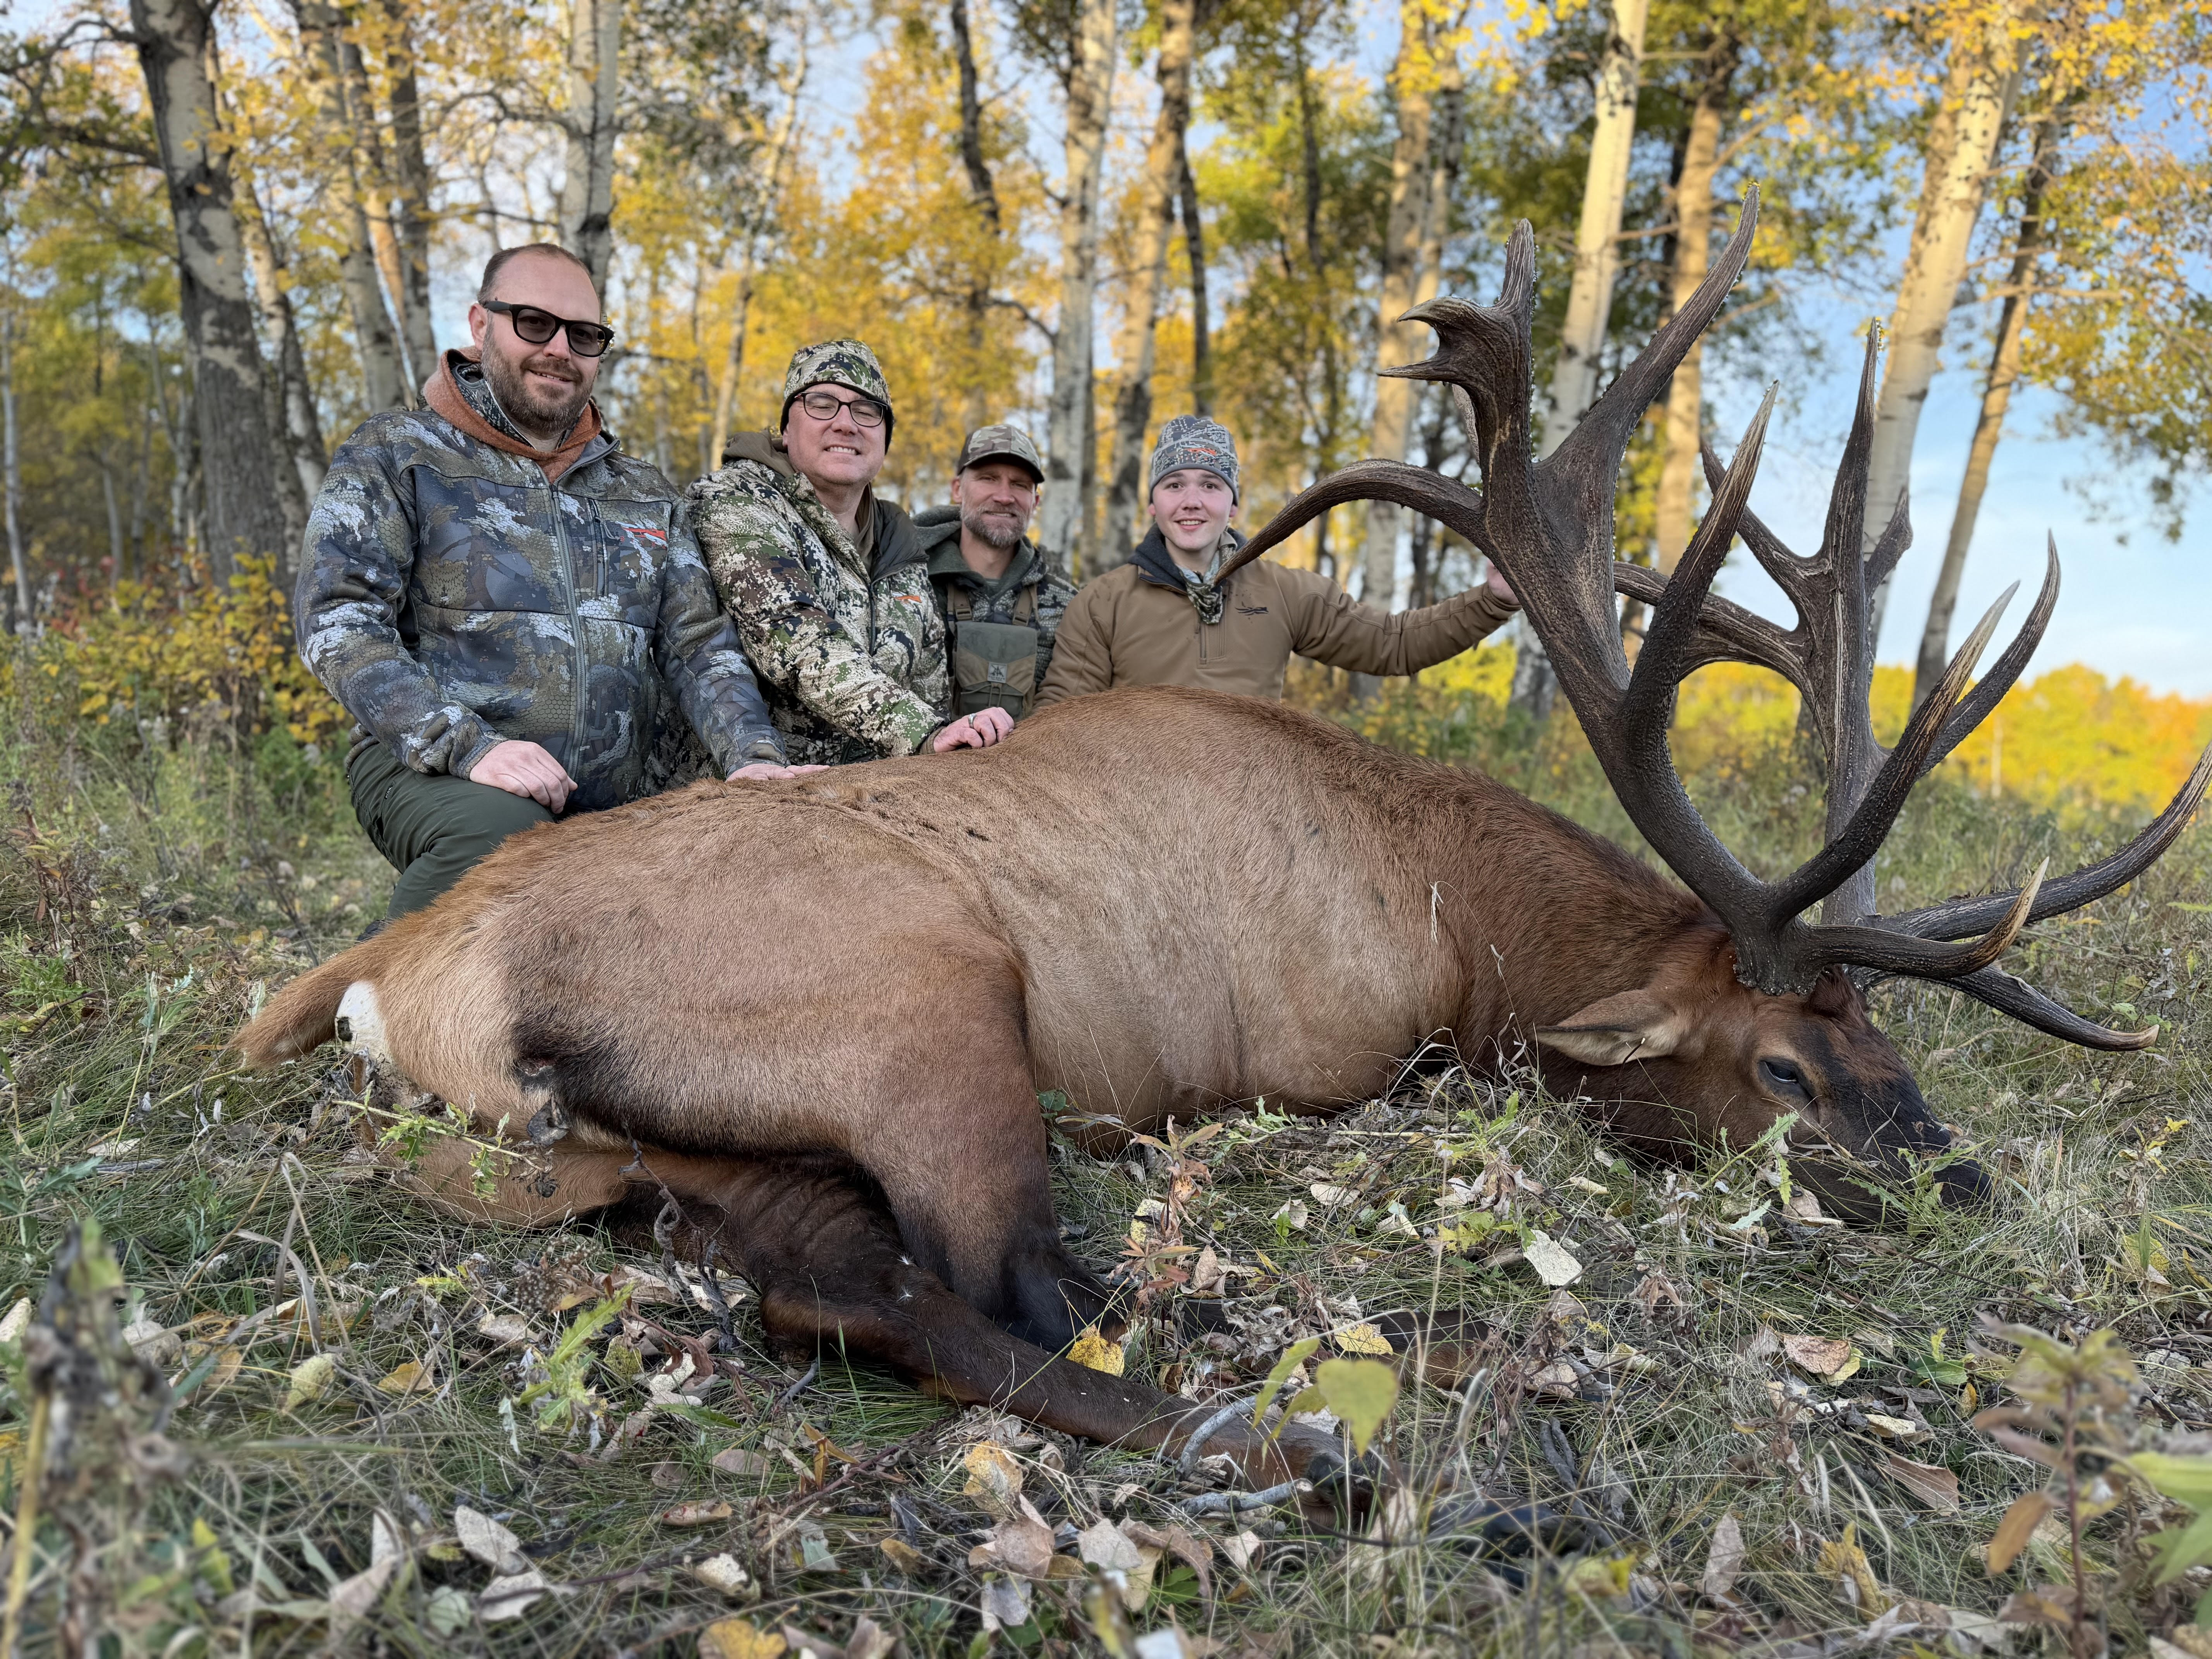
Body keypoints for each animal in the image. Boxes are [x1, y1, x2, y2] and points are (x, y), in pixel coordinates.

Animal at [235, 191, 2209, 1503]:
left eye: (1894, 1041)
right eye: (1792, 1069)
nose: (1964, 1189)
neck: (1457, 923)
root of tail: (384, 978)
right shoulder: (1346, 1054)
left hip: (677, 1149)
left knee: (846, 1285)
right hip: (924, 1007)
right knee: (990, 1298)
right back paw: (1343, 1430)